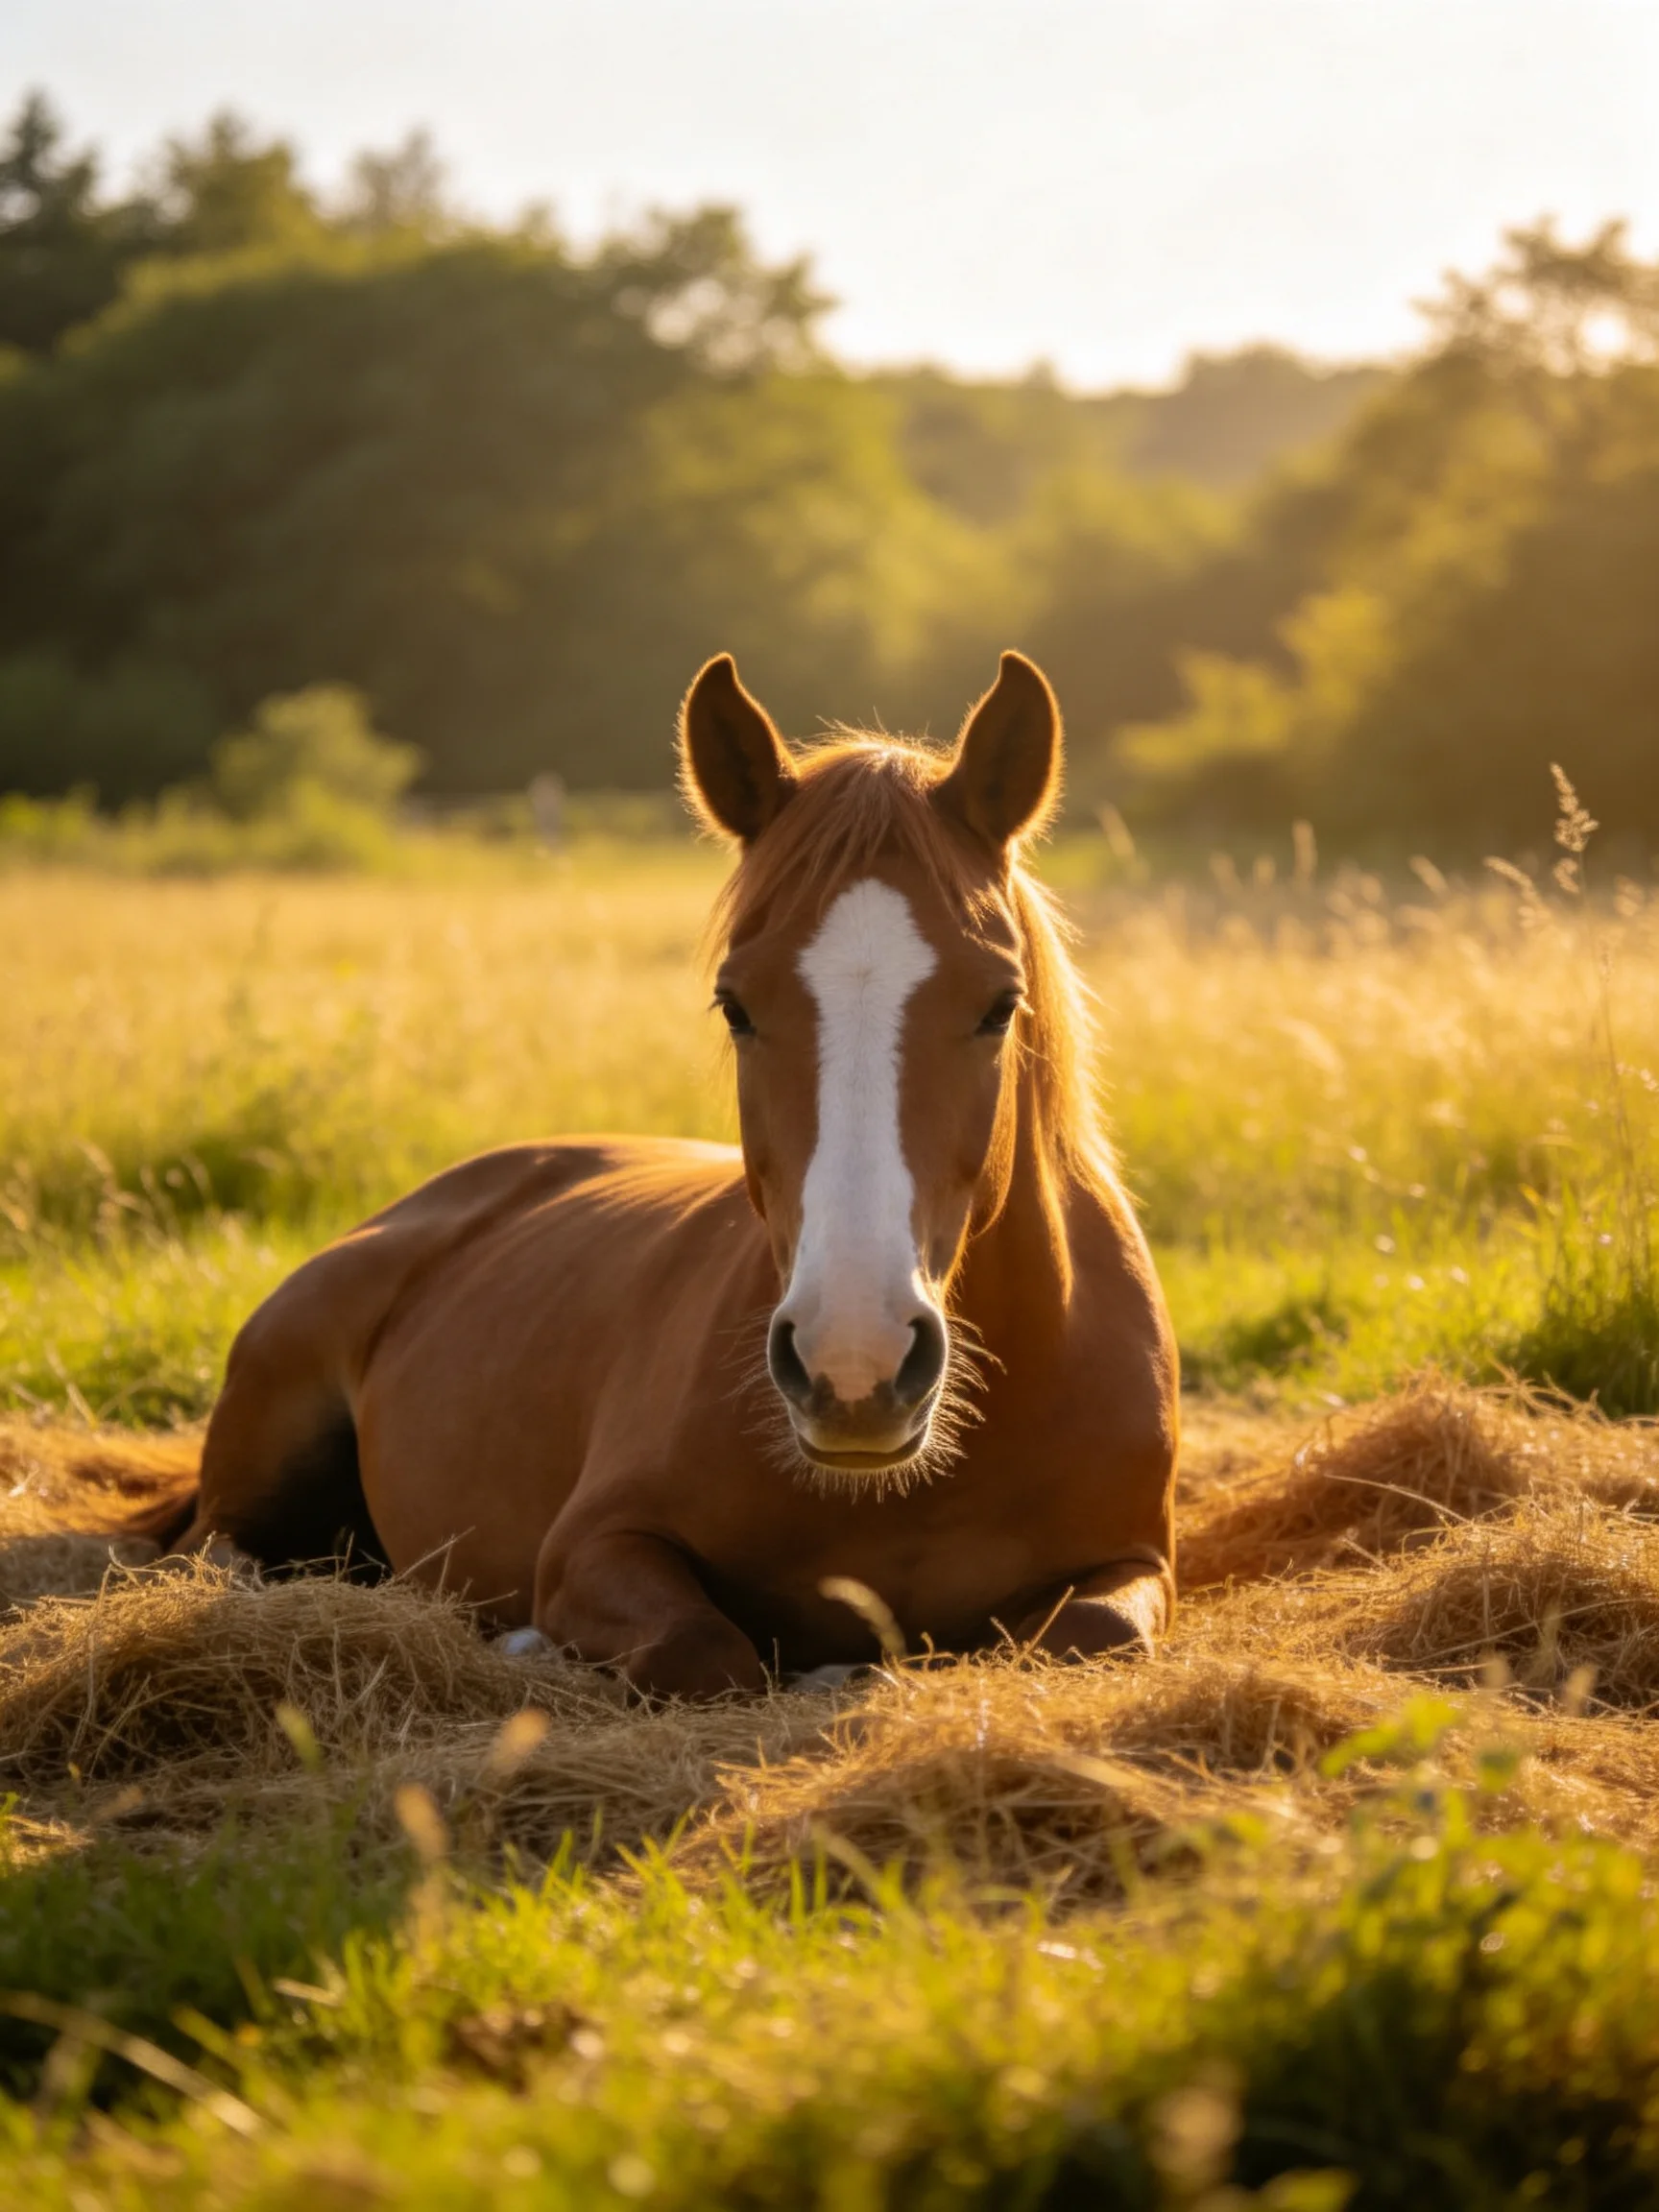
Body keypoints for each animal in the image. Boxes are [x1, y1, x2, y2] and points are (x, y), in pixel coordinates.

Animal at [168, 651, 1179, 1697]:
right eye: (735, 1005)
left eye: (999, 1004)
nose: (852, 1364)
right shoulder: (594, 1547)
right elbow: (705, 1650)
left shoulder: (1137, 1565)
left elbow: (1092, 1633)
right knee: (218, 1556)